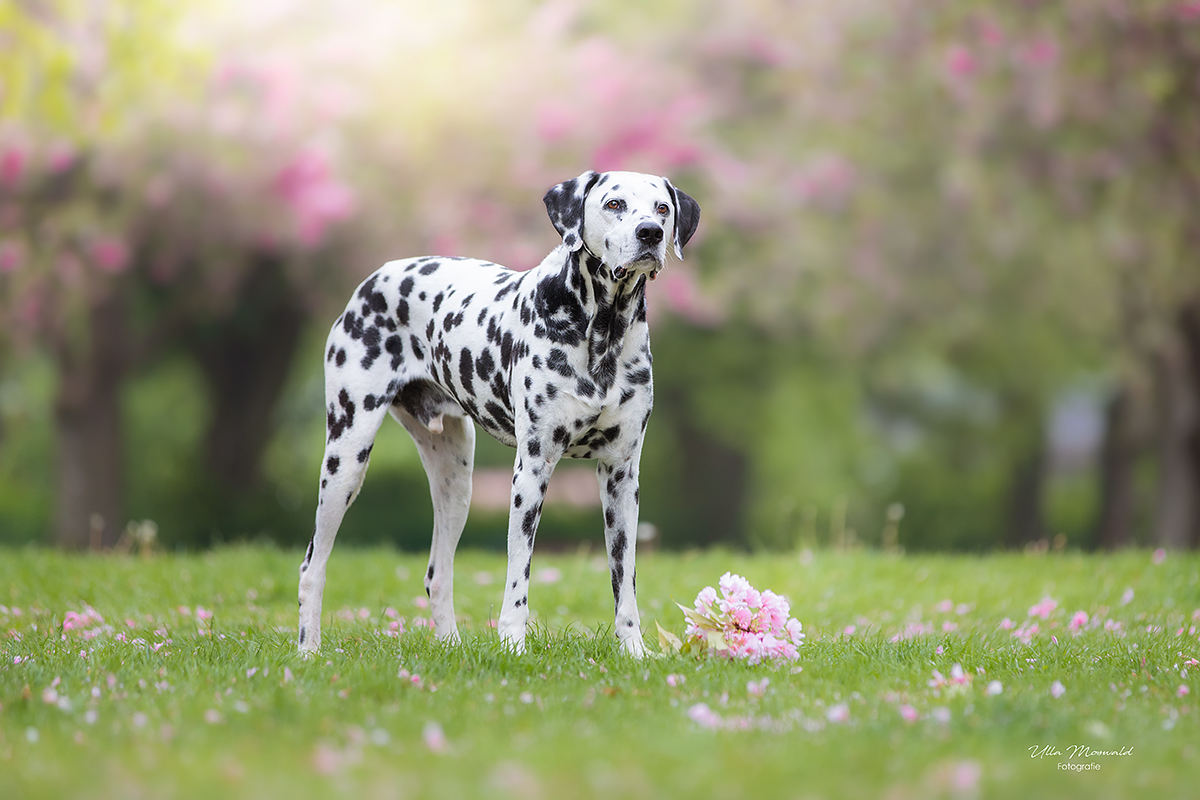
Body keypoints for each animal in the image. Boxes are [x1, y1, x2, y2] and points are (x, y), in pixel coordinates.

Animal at [294, 169, 700, 657]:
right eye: (614, 203)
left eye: (662, 208)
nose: (650, 234)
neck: (603, 330)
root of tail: (375, 278)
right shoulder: (532, 470)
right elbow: (518, 575)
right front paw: (513, 645)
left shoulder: (622, 477)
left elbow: (625, 584)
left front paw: (634, 650)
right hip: (346, 460)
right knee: (312, 566)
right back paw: (308, 650)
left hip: (456, 481)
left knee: (437, 574)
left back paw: (450, 646)